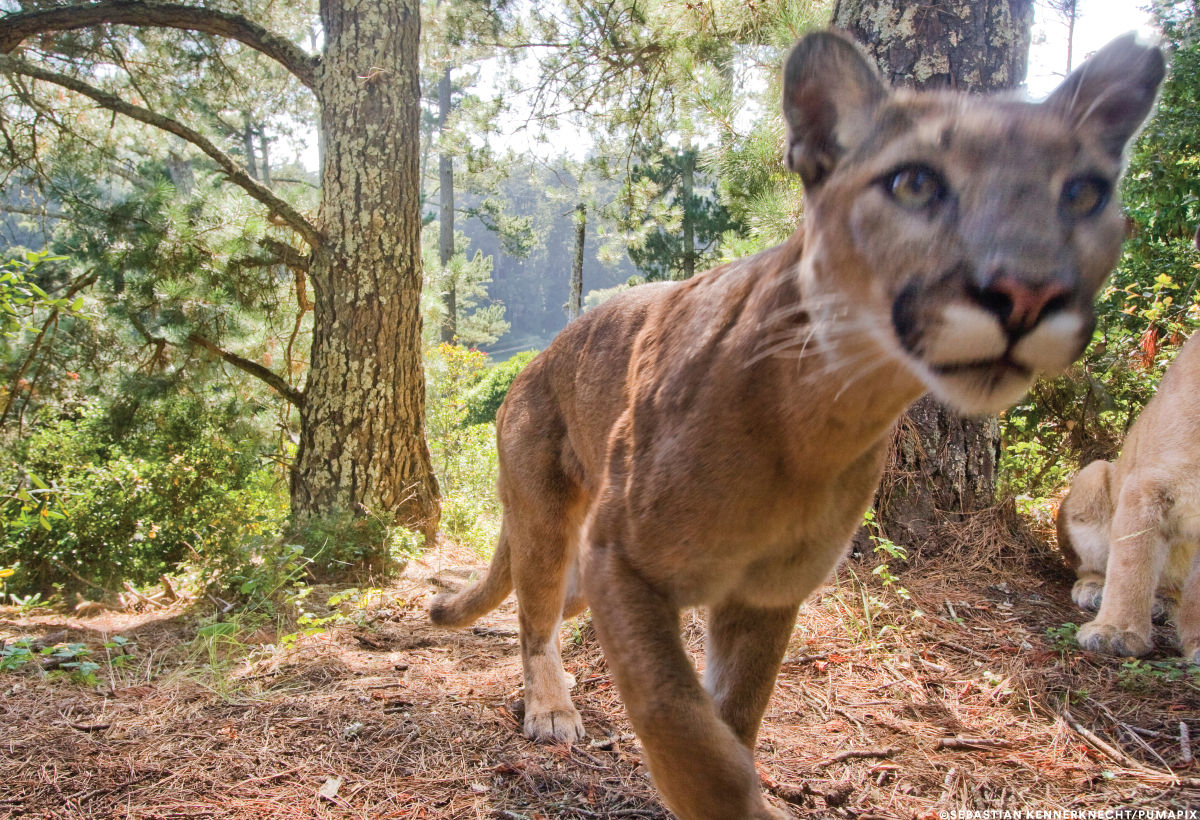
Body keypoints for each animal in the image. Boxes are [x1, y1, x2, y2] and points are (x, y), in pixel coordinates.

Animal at [429, 30, 1161, 820]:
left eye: (1084, 193)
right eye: (914, 184)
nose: (1027, 292)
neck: (824, 415)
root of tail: (531, 365)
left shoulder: (766, 593)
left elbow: (735, 715)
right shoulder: (623, 558)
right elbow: (680, 719)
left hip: (581, 559)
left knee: (551, 601)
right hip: (548, 520)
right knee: (534, 615)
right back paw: (552, 709)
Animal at [1060, 331, 1200, 662]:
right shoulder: (1147, 486)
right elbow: (1131, 565)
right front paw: (1116, 632)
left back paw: (1164, 604)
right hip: (1094, 474)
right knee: (1089, 566)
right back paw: (1095, 590)